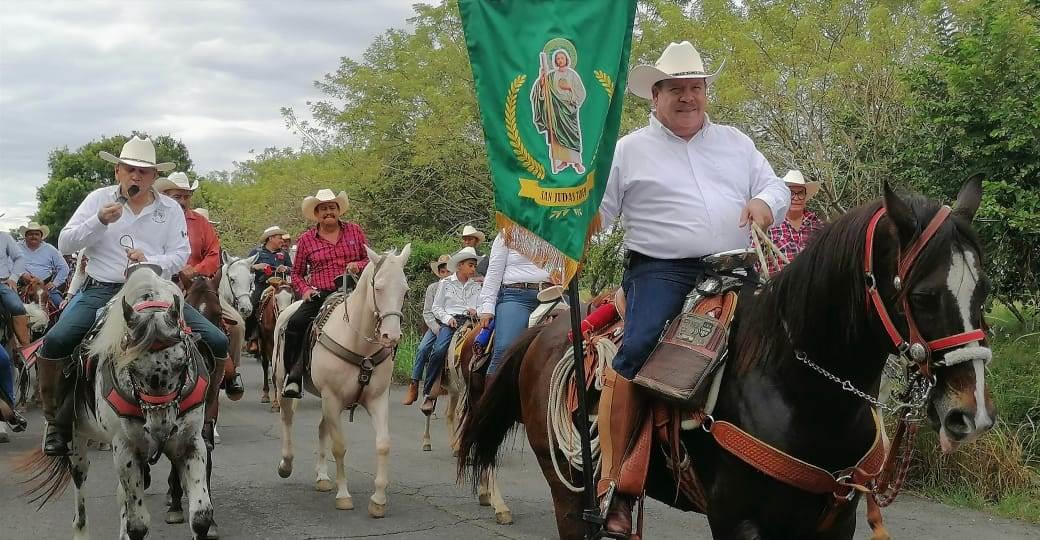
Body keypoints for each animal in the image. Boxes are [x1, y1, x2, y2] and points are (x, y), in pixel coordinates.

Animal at [19, 268, 212, 536]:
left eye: (182, 364)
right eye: (131, 367)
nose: (160, 430)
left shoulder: (190, 443)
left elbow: (201, 517)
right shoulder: (125, 448)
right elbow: (137, 525)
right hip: (77, 442)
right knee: (80, 492)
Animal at [274, 245, 411, 516]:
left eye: (404, 289)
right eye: (378, 287)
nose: (391, 336)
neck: (358, 343)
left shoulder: (377, 399)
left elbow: (383, 444)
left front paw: (378, 500)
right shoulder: (332, 398)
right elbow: (339, 447)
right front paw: (344, 495)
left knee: (321, 428)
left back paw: (322, 477)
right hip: (287, 384)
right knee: (287, 419)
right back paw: (286, 464)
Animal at [459, 178, 994, 540]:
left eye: (985, 289)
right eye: (922, 295)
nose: (970, 414)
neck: (795, 388)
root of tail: (548, 331)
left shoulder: (834, 521)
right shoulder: (739, 521)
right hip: (568, 488)